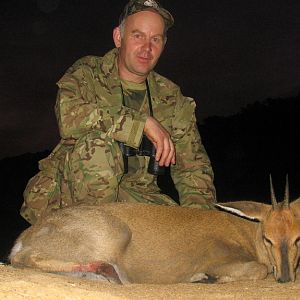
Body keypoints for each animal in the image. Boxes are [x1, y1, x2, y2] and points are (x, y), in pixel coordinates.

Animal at [8, 177, 300, 284]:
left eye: (298, 238)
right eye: (267, 238)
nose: (286, 277)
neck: (247, 234)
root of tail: (23, 238)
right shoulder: (219, 260)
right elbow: (258, 270)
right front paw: (207, 277)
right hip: (113, 233)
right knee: (23, 259)